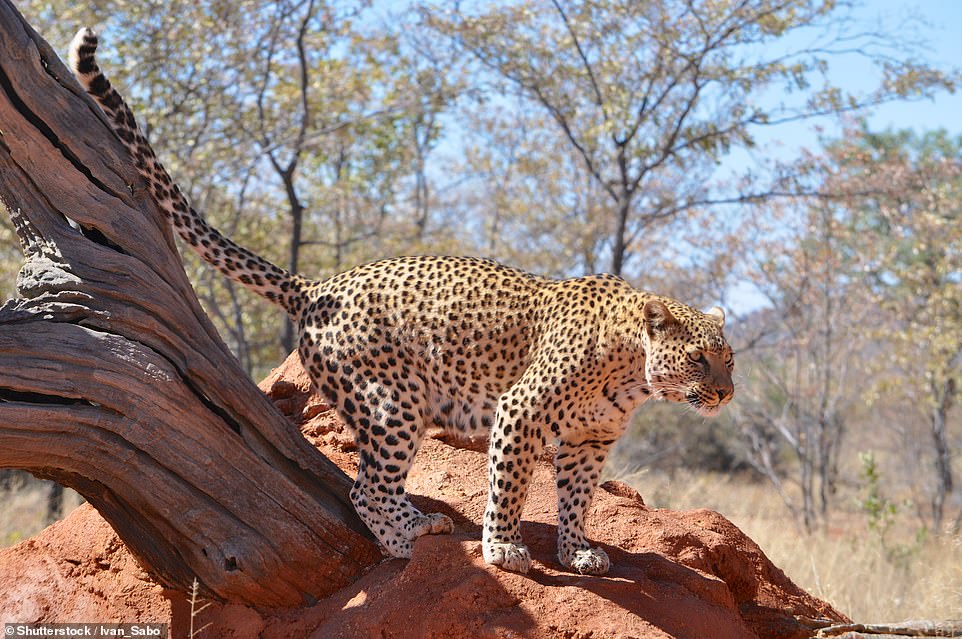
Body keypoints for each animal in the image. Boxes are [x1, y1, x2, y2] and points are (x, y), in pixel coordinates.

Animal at [69, 27, 736, 576]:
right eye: (699, 359)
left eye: (729, 361)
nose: (727, 394)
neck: (632, 374)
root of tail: (317, 286)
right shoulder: (519, 410)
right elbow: (510, 485)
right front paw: (504, 549)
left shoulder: (588, 441)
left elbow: (576, 498)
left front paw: (577, 551)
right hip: (393, 400)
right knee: (364, 489)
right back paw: (405, 540)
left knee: (375, 484)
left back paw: (421, 521)